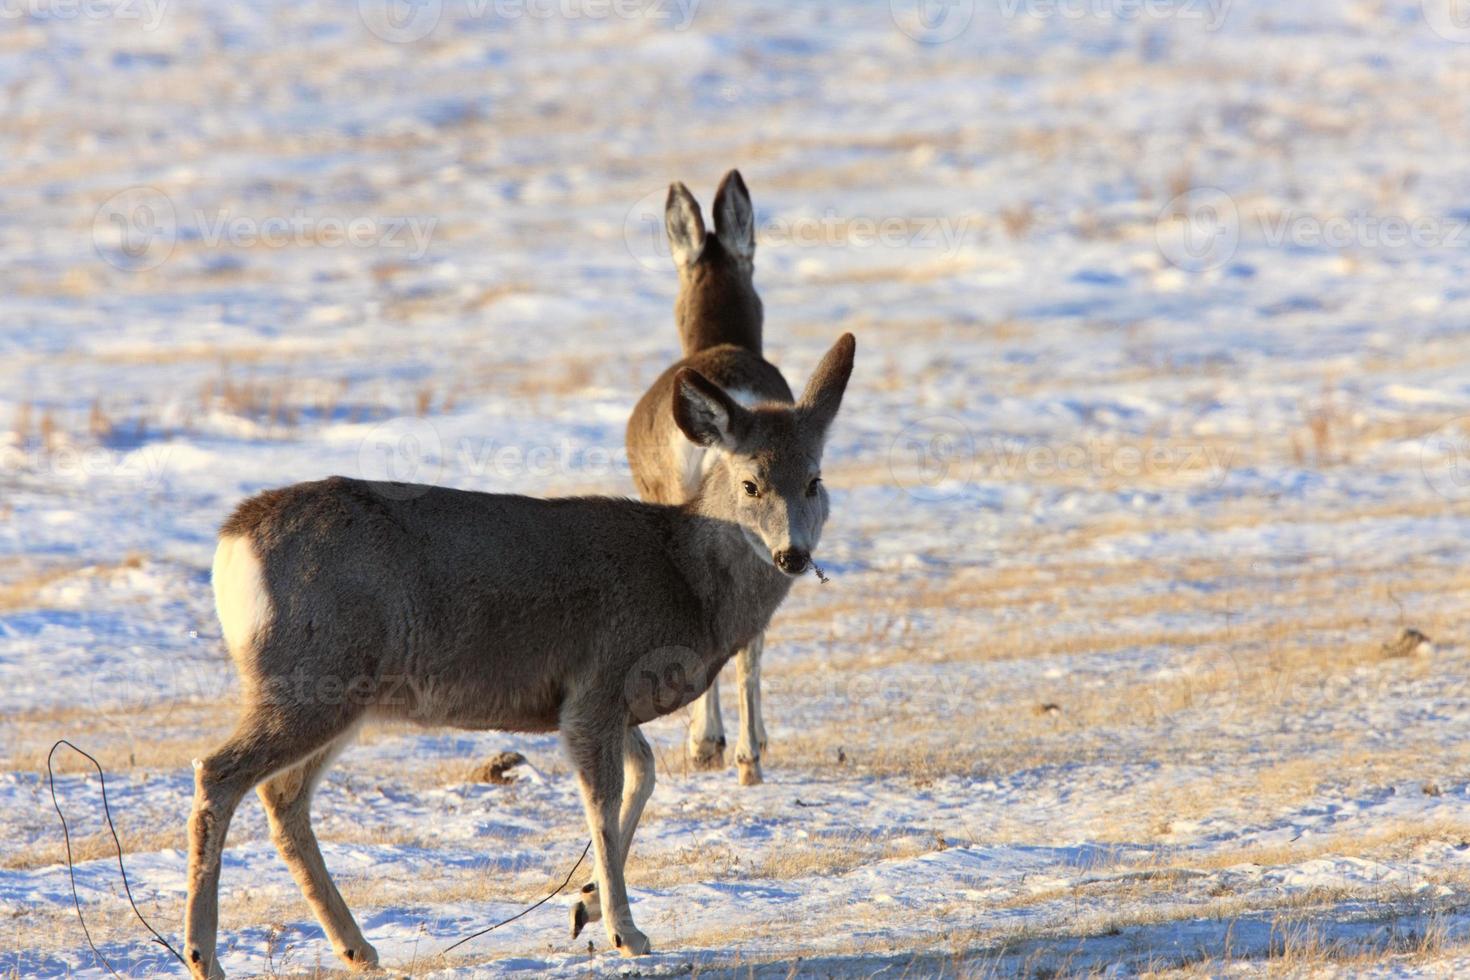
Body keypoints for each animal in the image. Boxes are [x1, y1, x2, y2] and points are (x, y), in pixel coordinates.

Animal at [183, 333, 858, 975]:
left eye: (814, 480)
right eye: (750, 483)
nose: (792, 555)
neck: (685, 582)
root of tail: (230, 543)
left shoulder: (596, 702)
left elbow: (642, 777)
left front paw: (585, 903)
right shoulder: (599, 681)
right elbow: (604, 801)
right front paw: (626, 932)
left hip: (341, 691)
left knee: (283, 795)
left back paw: (356, 947)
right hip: (312, 673)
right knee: (219, 772)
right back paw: (203, 955)